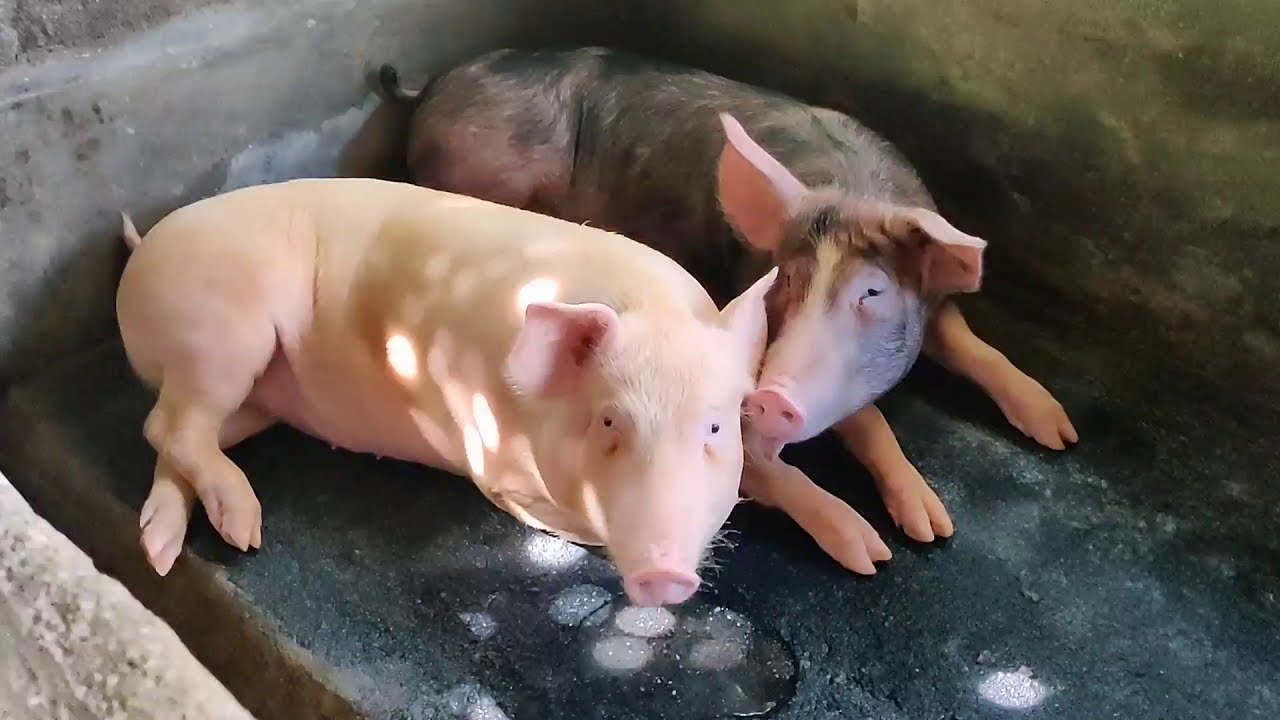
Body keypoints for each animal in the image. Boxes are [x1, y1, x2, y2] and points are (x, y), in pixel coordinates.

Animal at [116, 177, 776, 607]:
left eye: (716, 427)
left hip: (255, 396)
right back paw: (242, 534)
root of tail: (142, 249)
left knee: (176, 432)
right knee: (165, 425)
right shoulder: (491, 465)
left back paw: (160, 549)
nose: (665, 575)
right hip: (221, 332)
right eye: (610, 422)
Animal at [374, 47, 1079, 575]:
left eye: (873, 293)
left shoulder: (930, 307)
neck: (851, 190)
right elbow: (859, 425)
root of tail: (431, 87)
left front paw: (1050, 437)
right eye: (786, 280)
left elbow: (967, 349)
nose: (769, 397)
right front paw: (875, 554)